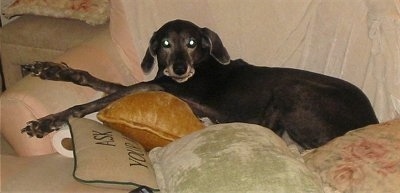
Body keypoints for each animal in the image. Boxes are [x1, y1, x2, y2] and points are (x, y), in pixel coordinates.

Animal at [21, 19, 378, 149]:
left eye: (192, 42)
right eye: (165, 43)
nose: (180, 68)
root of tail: (369, 121)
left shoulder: (167, 88)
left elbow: (106, 97)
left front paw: (49, 120)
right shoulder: (162, 81)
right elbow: (100, 82)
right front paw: (51, 70)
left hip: (292, 88)